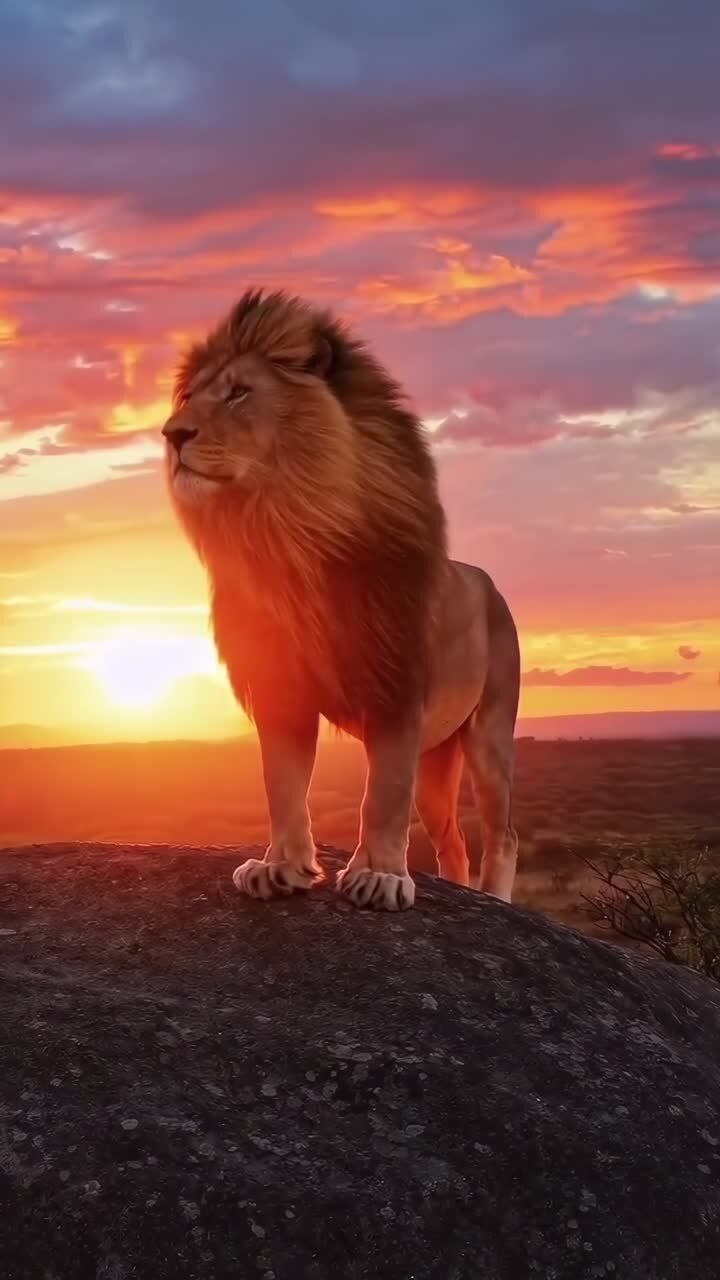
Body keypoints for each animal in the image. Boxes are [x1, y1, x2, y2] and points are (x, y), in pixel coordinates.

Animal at [162, 289, 520, 911]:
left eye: (239, 392)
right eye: (188, 397)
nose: (172, 434)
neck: (286, 534)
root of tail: (489, 584)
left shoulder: (397, 690)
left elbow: (382, 795)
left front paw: (379, 877)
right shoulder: (280, 689)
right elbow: (282, 784)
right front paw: (280, 867)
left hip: (488, 736)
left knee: (502, 833)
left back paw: (494, 900)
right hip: (436, 758)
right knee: (452, 839)